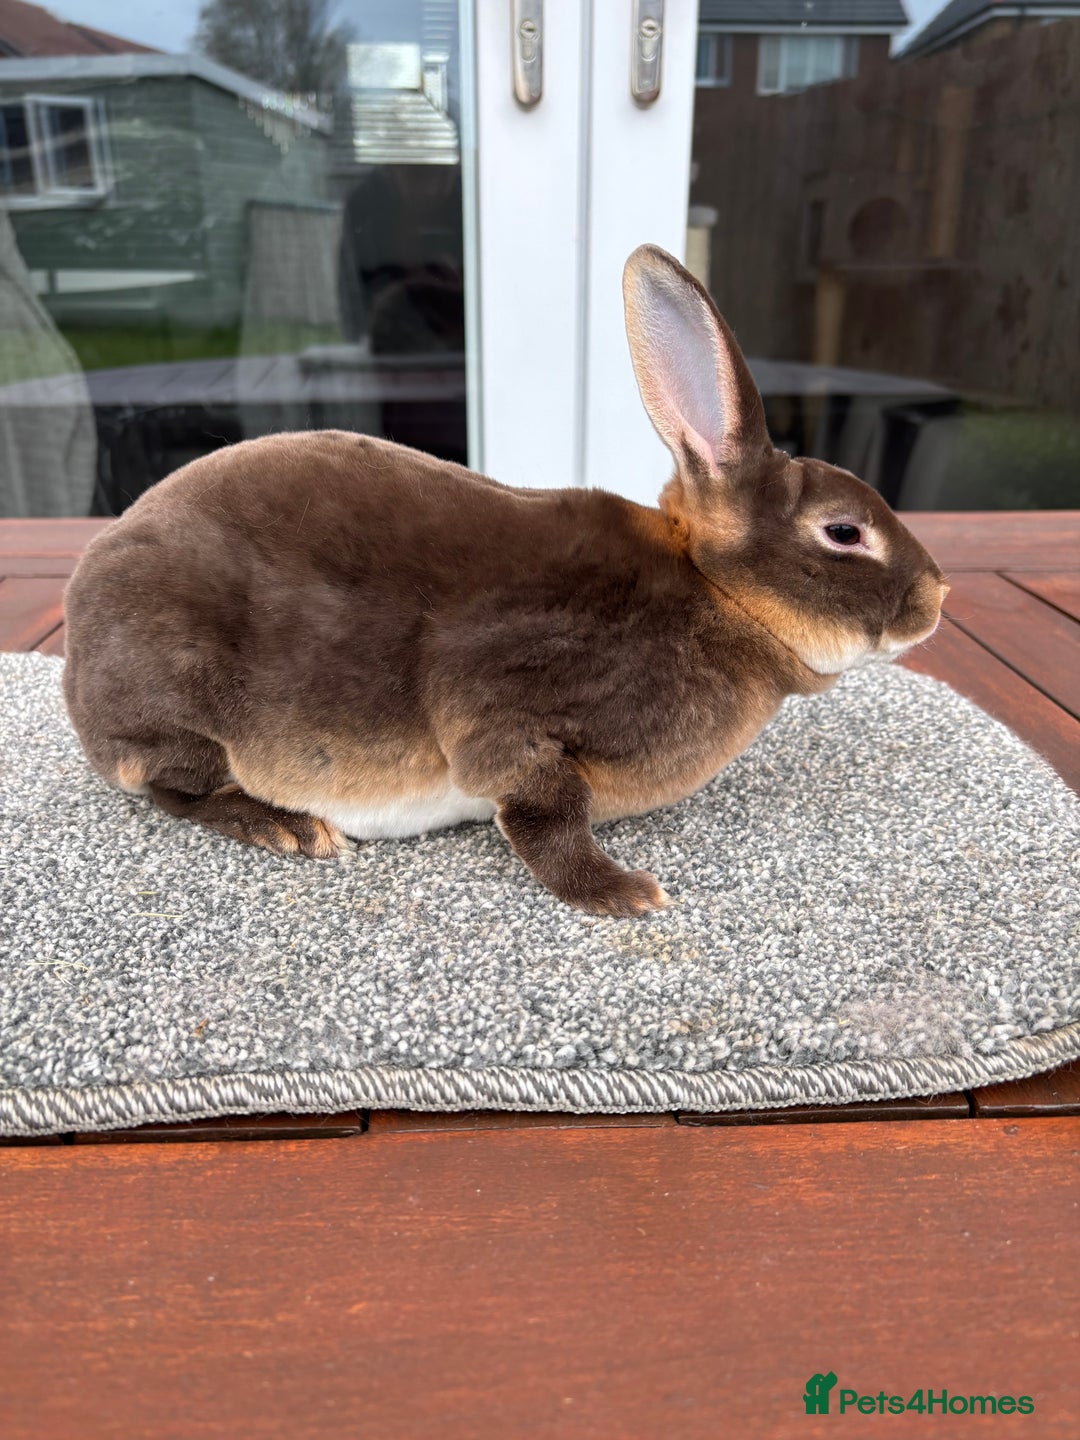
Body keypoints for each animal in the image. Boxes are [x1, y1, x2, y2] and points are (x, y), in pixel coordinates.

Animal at [62, 244, 948, 917]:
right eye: (844, 531)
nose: (937, 600)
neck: (715, 596)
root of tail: (76, 662)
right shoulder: (509, 703)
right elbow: (544, 813)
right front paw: (620, 893)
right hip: (181, 709)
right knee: (174, 789)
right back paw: (289, 828)